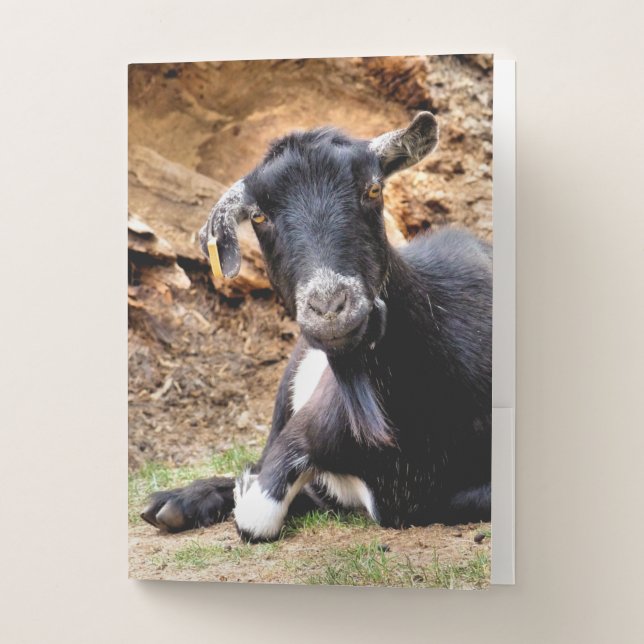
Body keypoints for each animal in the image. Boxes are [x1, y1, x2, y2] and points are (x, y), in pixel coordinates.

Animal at [141, 112, 492, 542]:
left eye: (373, 189)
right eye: (258, 215)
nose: (329, 307)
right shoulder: (304, 429)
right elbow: (257, 511)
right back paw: (175, 503)